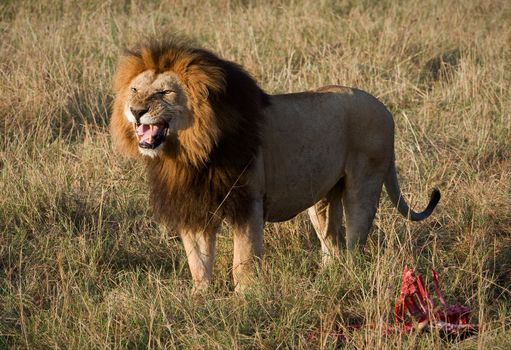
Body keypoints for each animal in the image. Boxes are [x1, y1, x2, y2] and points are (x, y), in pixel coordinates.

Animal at [111, 37, 440, 292]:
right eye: (135, 90)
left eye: (164, 92)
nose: (136, 110)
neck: (189, 153)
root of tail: (385, 109)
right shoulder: (194, 205)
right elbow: (198, 261)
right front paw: (199, 299)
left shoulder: (248, 202)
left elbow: (243, 260)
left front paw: (245, 299)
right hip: (322, 197)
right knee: (331, 242)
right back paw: (326, 280)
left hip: (364, 183)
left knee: (354, 240)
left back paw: (348, 277)